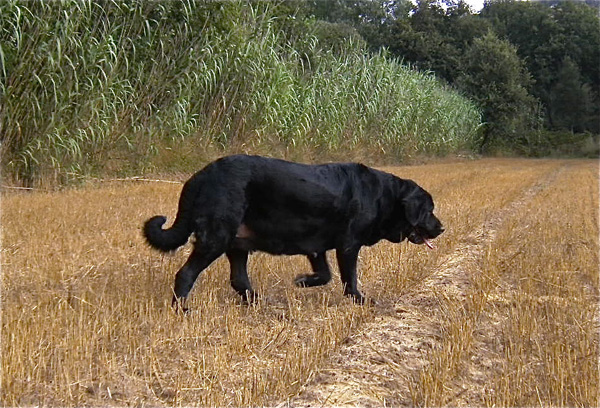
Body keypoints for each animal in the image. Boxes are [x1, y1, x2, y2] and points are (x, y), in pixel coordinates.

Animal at [142, 155, 440, 308]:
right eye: (428, 210)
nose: (441, 227)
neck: (383, 196)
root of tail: (200, 176)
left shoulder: (316, 247)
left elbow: (325, 274)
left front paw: (303, 281)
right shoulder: (348, 245)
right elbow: (348, 278)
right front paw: (359, 299)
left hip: (237, 242)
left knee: (239, 279)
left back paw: (258, 302)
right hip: (217, 237)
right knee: (186, 274)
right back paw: (182, 309)